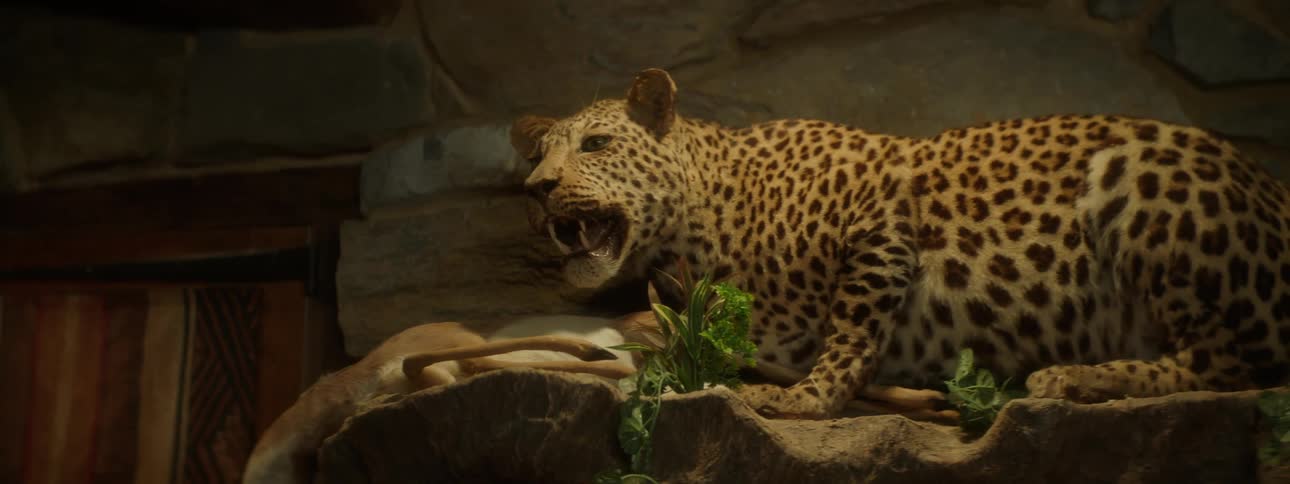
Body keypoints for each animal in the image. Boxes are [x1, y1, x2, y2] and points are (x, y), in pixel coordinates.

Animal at [509, 67, 1290, 419]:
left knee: (1231, 367)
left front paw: (807, 399)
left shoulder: (884, 218)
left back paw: (1075, 379)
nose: (538, 188)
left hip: (1143, 179)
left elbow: (852, 329)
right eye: (540, 157)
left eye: (597, 144)